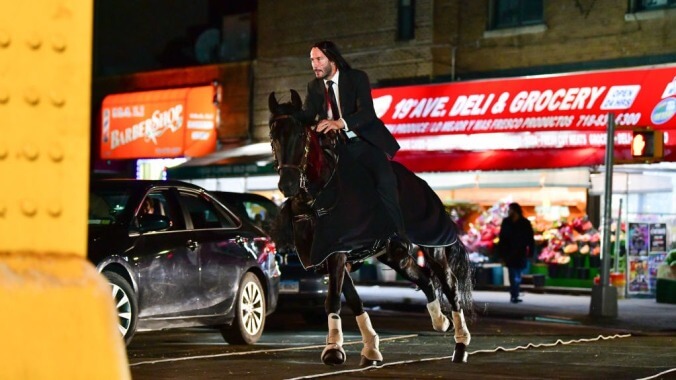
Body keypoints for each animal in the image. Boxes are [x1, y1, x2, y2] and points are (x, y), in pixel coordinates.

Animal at [268, 90, 470, 366]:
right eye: (272, 136)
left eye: (301, 134)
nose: (287, 184)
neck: (317, 198)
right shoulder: (326, 255)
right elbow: (353, 300)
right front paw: (370, 348)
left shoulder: (337, 252)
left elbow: (333, 299)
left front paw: (333, 350)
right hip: (394, 254)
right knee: (425, 278)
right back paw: (441, 322)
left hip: (434, 246)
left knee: (450, 286)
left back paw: (460, 345)